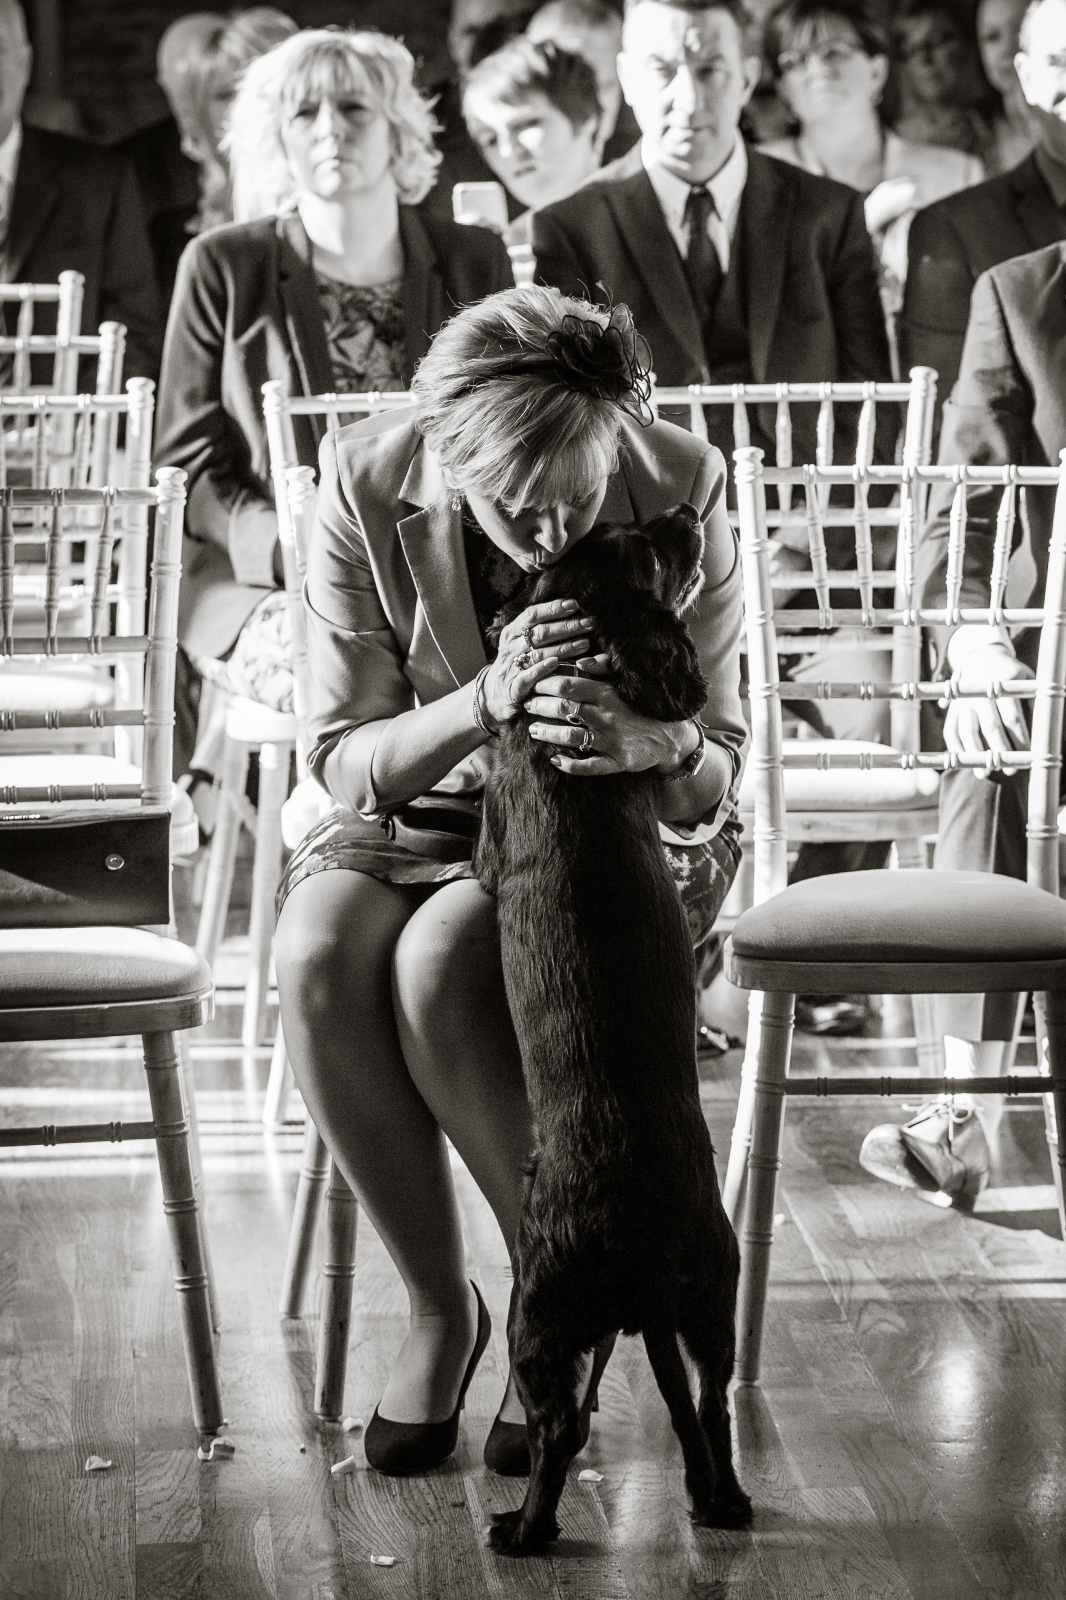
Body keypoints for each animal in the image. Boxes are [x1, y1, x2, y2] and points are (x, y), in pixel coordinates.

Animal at [474, 504, 752, 1557]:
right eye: (647, 542)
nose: (687, 514)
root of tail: (636, 1246)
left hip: (541, 1312)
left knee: (560, 1429)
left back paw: (523, 1532)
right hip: (709, 1289)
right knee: (706, 1404)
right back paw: (720, 1503)